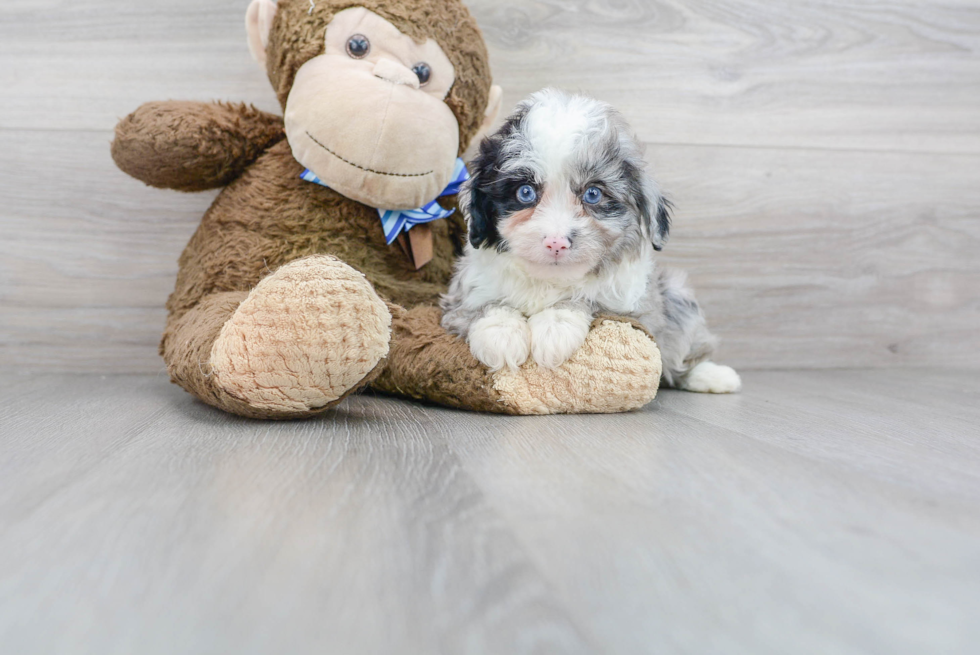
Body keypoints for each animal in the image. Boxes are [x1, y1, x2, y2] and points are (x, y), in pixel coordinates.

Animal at [440, 88, 740, 394]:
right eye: (525, 192)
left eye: (593, 194)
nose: (556, 243)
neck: (549, 280)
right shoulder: (458, 297)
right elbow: (483, 305)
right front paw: (501, 332)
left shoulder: (633, 308)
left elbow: (590, 301)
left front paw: (556, 325)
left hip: (676, 295)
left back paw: (712, 376)